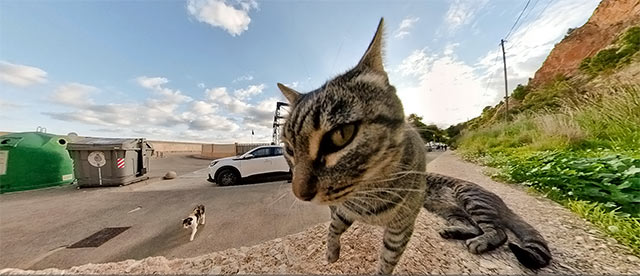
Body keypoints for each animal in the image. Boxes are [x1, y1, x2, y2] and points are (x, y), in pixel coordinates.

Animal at [278, 18, 552, 274]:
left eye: (341, 135)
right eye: (289, 149)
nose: (299, 194)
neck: (369, 196)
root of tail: (500, 200)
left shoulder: (400, 227)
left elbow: (387, 261)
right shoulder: (345, 209)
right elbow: (334, 226)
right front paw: (332, 251)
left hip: (472, 200)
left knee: (499, 232)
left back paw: (480, 241)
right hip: (451, 210)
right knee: (475, 226)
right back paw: (456, 232)